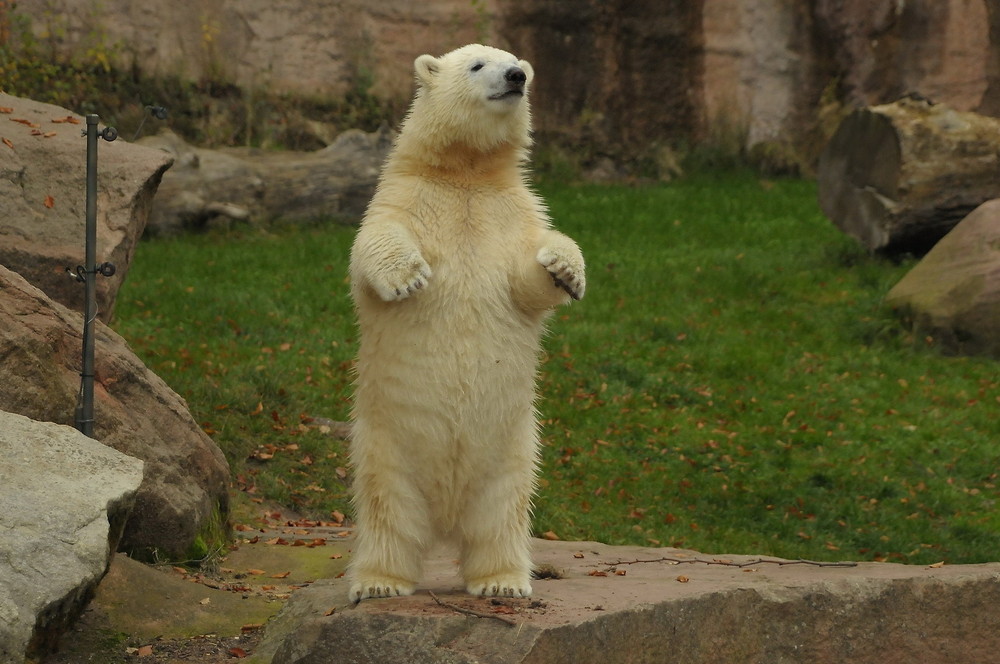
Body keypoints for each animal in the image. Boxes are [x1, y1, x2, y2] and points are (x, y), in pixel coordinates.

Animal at [346, 41, 584, 600]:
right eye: (478, 65)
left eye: (517, 61)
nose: (517, 76)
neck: (466, 175)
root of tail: (445, 519)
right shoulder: (404, 199)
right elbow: (373, 245)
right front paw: (407, 278)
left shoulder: (514, 213)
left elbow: (527, 278)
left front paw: (565, 268)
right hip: (385, 447)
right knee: (387, 513)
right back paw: (379, 582)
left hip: (515, 450)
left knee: (502, 514)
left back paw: (503, 581)